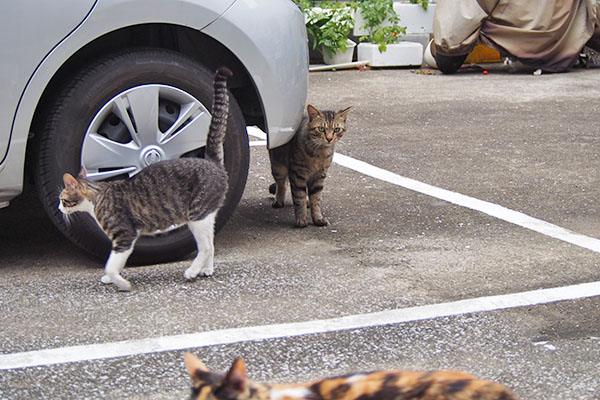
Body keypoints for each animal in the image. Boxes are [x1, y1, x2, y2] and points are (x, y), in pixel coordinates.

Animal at [58, 66, 232, 290]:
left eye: (62, 199)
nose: (59, 208)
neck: (97, 197)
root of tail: (212, 162)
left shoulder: (125, 235)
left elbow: (111, 264)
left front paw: (120, 282)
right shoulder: (124, 240)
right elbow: (114, 262)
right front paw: (111, 278)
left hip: (197, 215)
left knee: (206, 248)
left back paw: (192, 271)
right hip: (206, 215)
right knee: (210, 243)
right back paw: (206, 269)